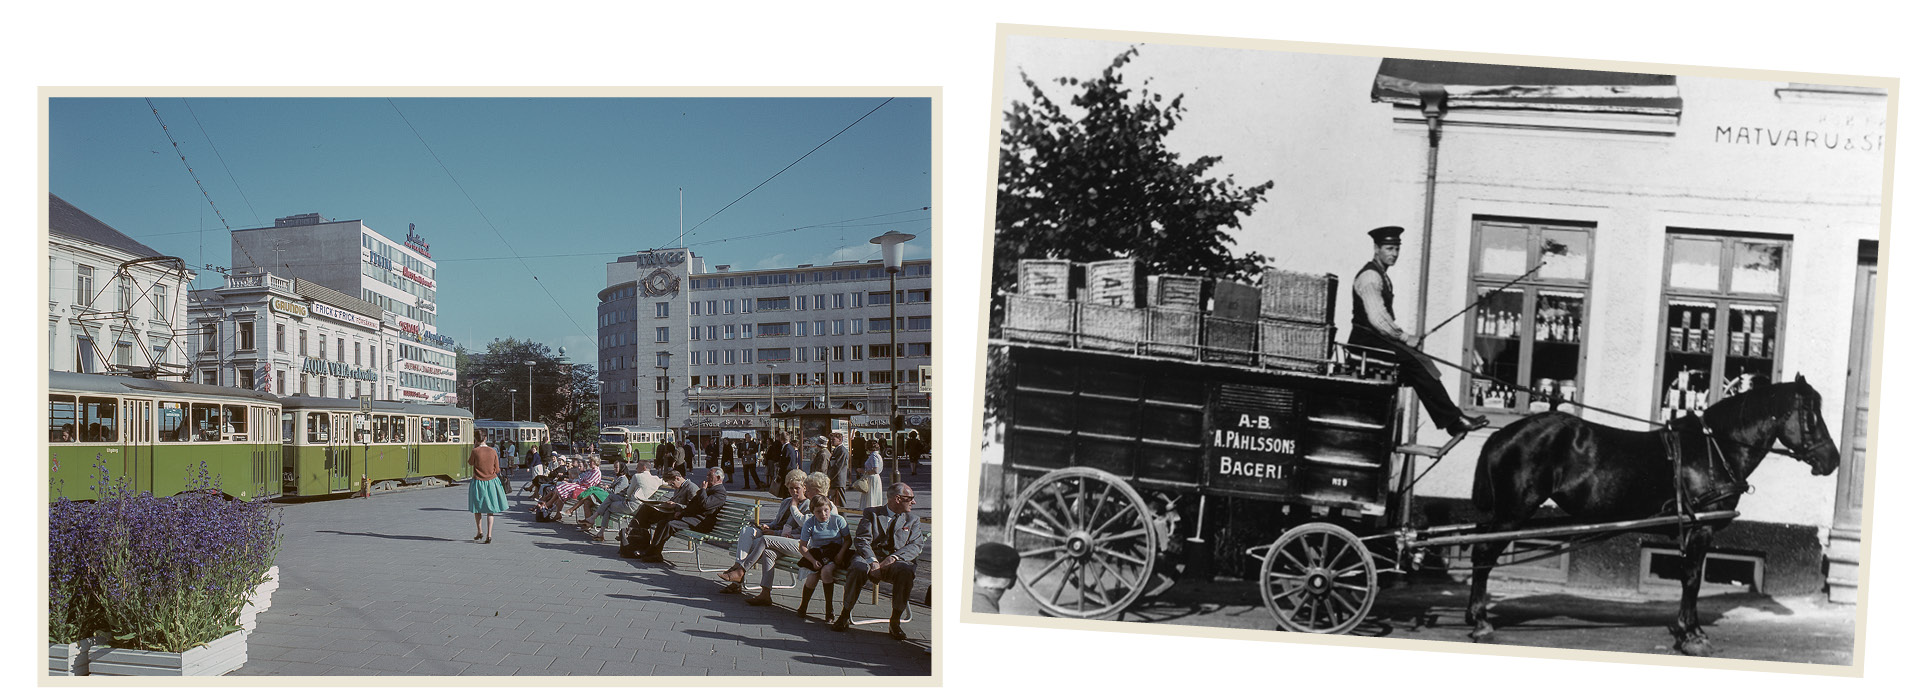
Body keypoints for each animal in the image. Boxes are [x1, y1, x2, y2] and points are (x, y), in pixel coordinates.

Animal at [1466, 373, 1843, 652]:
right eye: (1811, 416)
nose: (1833, 460)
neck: (1713, 450)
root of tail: (1502, 433)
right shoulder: (1700, 530)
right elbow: (1692, 579)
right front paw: (1692, 635)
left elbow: (1689, 579)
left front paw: (1687, 629)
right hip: (1513, 514)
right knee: (1483, 554)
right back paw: (1480, 620)